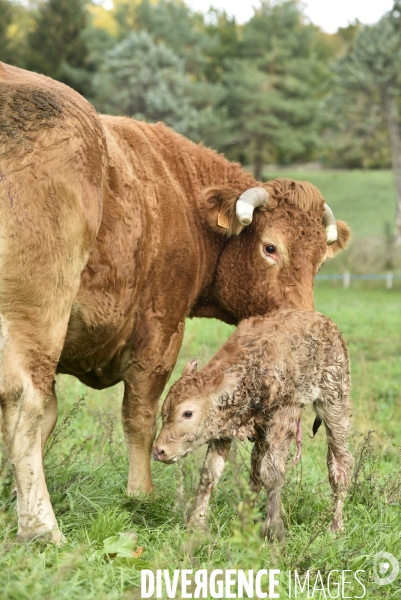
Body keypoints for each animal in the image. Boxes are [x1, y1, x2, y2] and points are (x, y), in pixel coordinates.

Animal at [152, 310, 352, 544]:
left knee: (340, 464)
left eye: (187, 413)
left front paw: (273, 530)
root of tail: (328, 324)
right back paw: (246, 520)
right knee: (255, 472)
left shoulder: (285, 416)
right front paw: (196, 526)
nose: (158, 450)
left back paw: (336, 526)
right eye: (163, 412)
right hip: (262, 435)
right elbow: (210, 474)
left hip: (335, 402)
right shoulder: (223, 431)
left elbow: (272, 474)